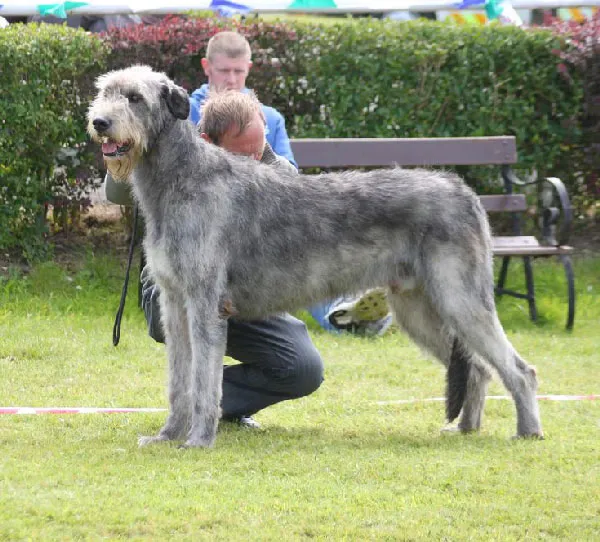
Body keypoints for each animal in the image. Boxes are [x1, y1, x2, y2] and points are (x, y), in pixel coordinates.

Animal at [88, 67, 544, 450]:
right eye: (104, 92)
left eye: (135, 97)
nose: (99, 123)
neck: (181, 177)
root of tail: (462, 189)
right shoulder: (174, 303)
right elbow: (179, 380)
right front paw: (167, 435)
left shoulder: (204, 304)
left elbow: (204, 382)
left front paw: (199, 440)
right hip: (417, 308)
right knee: (479, 367)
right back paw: (466, 427)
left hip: (459, 297)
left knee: (519, 369)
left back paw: (528, 430)